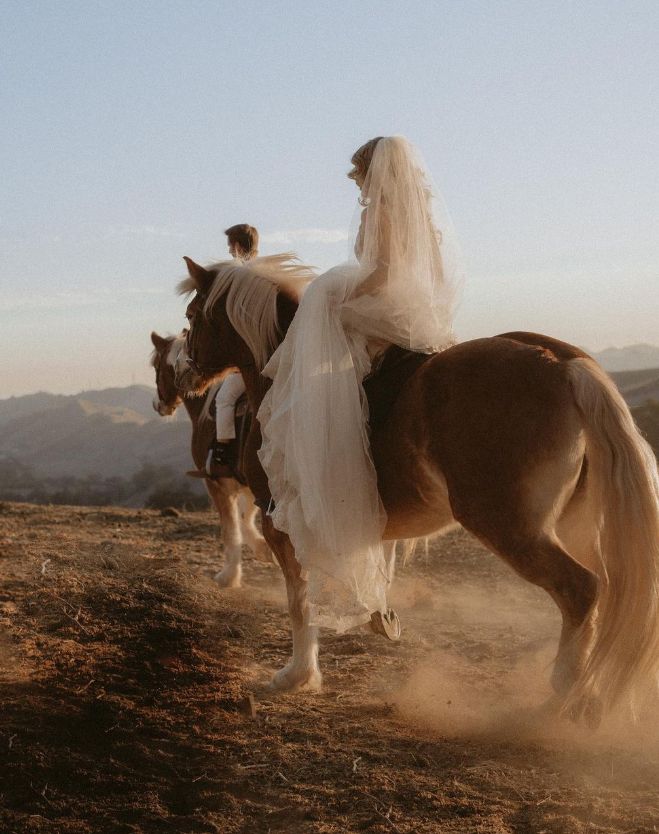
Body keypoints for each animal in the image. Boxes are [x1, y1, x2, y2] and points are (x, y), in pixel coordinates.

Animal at [151, 328, 272, 580]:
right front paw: (263, 549)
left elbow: (232, 528)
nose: (158, 404)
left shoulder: (216, 483)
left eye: (157, 367)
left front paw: (229, 575)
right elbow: (246, 518)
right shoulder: (245, 482)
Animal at [175, 254, 659, 720]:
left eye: (192, 315)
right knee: (607, 589)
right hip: (576, 524)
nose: (185, 376)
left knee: (581, 589)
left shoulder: (283, 522)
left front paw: (297, 675)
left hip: (510, 526)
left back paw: (564, 693)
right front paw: (376, 620)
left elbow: (300, 601)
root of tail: (562, 364)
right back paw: (590, 694)